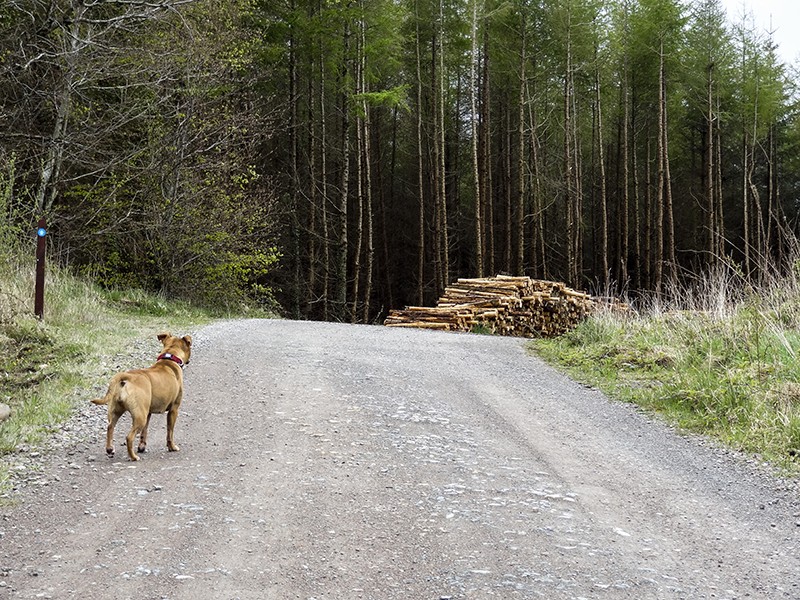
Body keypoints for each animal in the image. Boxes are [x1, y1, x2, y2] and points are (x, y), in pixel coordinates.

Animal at [91, 330, 191, 462]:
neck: (169, 358)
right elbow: (170, 432)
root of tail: (126, 377)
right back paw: (133, 457)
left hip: (118, 411)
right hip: (140, 417)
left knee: (110, 427)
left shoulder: (148, 413)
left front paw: (142, 447)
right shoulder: (174, 410)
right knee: (129, 437)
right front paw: (172, 447)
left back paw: (110, 449)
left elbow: (145, 432)